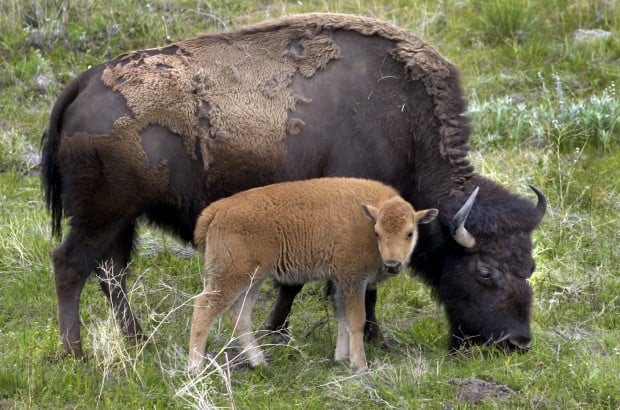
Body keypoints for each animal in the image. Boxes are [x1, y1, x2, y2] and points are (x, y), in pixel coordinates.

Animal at [189, 177, 436, 372]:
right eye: (377, 233)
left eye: (410, 233)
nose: (393, 264)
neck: (368, 218)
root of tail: (217, 210)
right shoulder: (353, 280)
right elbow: (356, 320)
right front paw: (359, 365)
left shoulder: (339, 282)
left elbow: (342, 318)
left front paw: (340, 358)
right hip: (232, 277)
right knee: (204, 308)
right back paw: (195, 367)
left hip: (253, 280)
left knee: (239, 315)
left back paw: (260, 362)